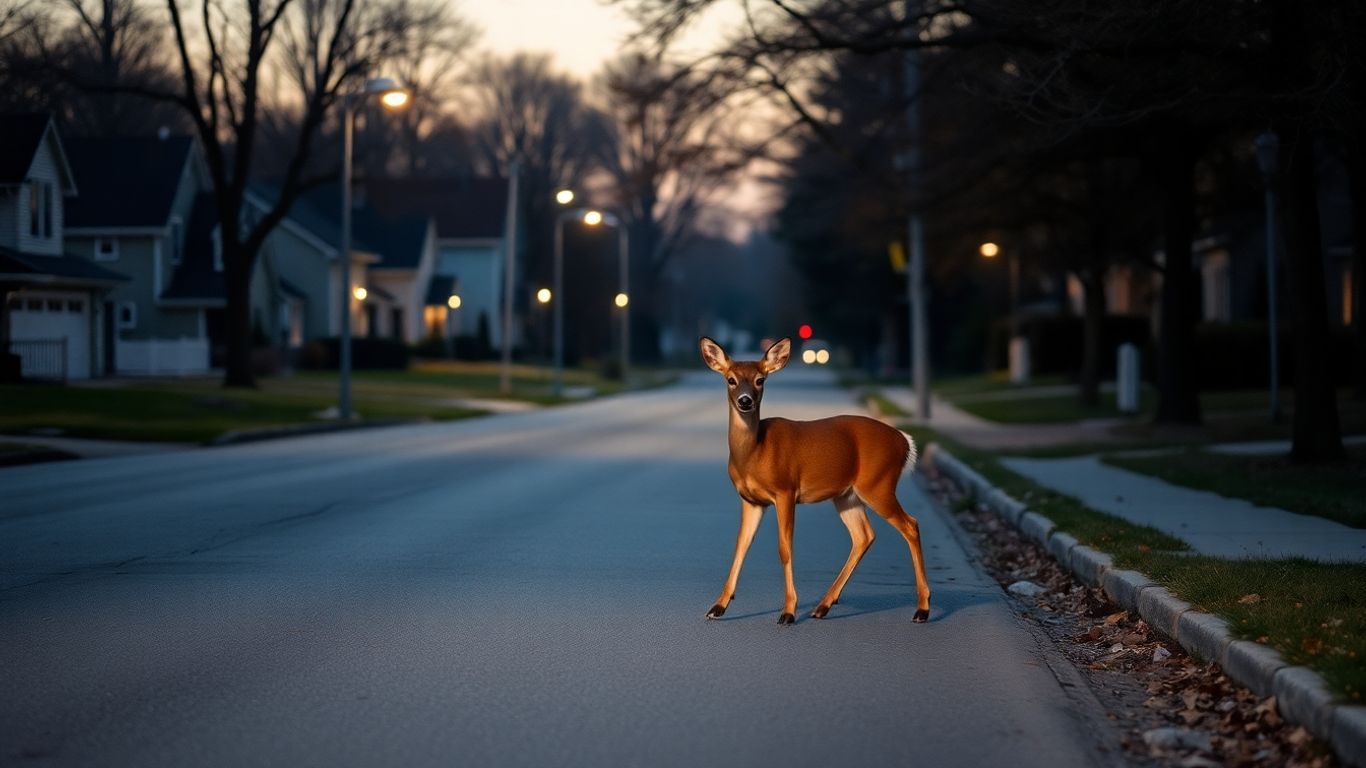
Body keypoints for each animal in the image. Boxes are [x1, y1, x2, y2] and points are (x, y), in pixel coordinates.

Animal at [699, 336, 931, 625]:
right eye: (730, 379)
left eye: (760, 380)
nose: (745, 401)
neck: (755, 453)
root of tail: (904, 441)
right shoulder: (751, 500)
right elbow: (740, 546)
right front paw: (717, 607)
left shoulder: (785, 490)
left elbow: (784, 549)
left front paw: (788, 612)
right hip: (847, 495)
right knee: (864, 535)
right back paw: (823, 606)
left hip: (878, 484)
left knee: (911, 525)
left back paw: (922, 609)